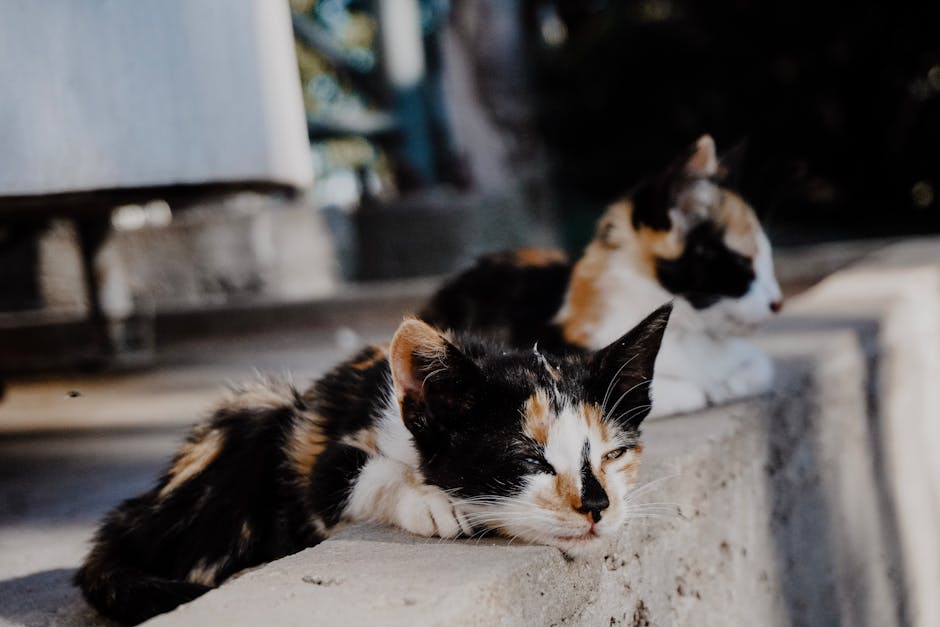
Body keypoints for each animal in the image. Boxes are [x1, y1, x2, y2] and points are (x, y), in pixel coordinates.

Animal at [77, 306, 672, 624]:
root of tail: (132, 514)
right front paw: (431, 503)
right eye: (528, 458)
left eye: (614, 453)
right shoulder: (315, 462)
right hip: (258, 409)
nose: (597, 505)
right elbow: (348, 474)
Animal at [422, 134, 784, 418]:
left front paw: (727, 384)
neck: (689, 332)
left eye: (768, 260)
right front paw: (706, 390)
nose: (778, 302)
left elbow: (763, 366)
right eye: (741, 263)